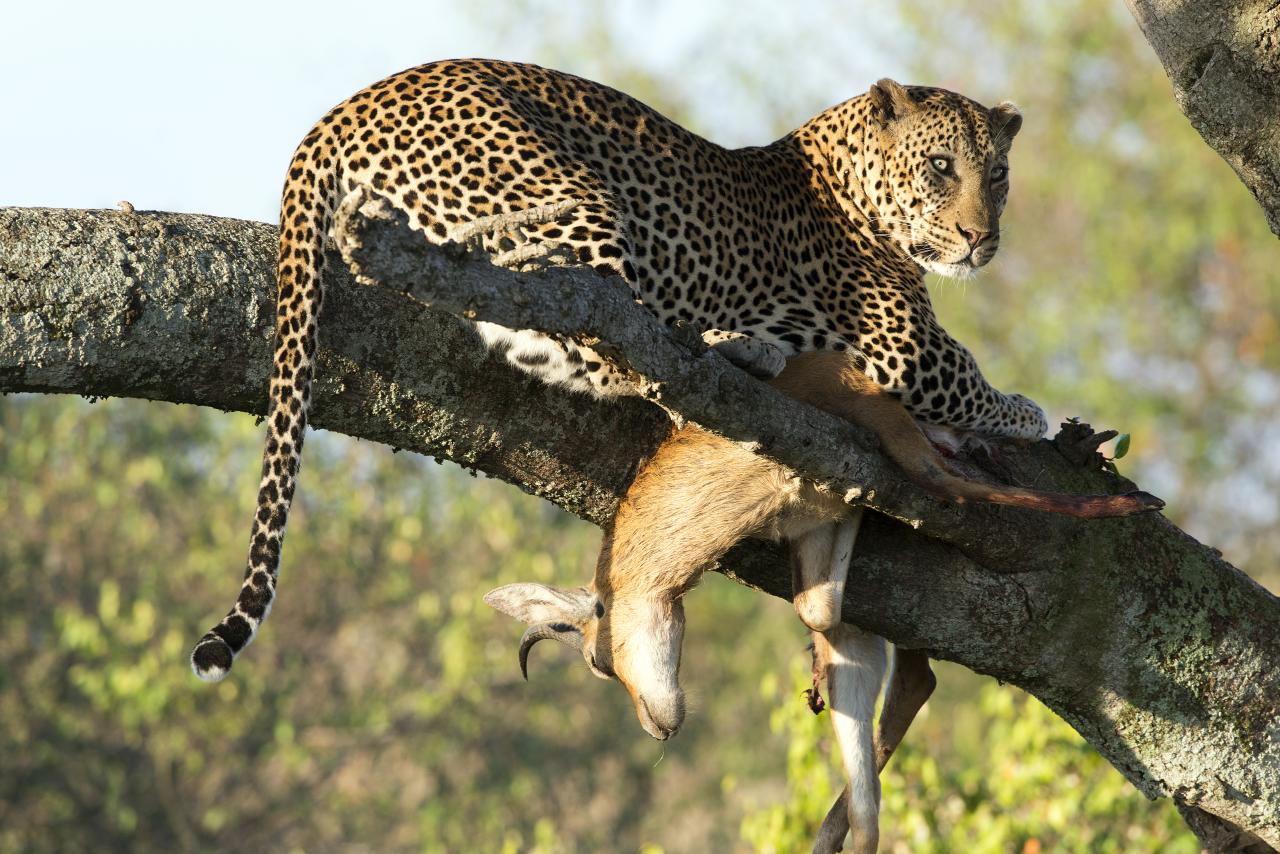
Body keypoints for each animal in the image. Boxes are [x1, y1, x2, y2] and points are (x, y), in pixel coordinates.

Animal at [192, 55, 1049, 681]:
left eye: (999, 176)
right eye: (941, 168)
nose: (982, 238)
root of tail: (344, 107)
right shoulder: (906, 347)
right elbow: (971, 380)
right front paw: (1030, 414)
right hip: (579, 205)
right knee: (592, 313)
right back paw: (733, 349)